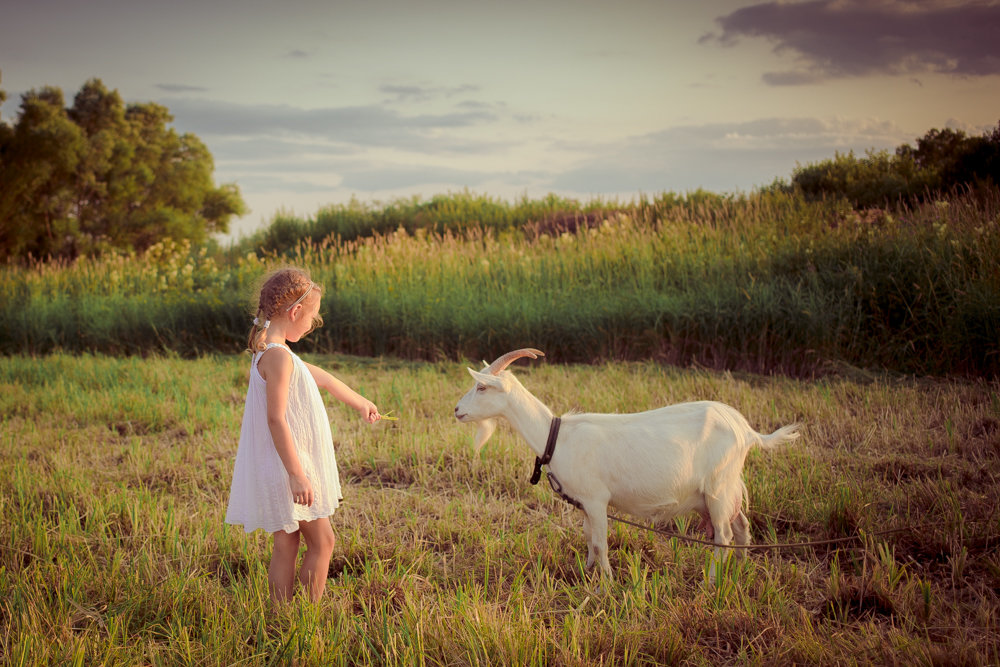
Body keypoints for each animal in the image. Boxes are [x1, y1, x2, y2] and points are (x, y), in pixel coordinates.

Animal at [458, 350, 800, 580]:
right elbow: (588, 539)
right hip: (724, 490)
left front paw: (606, 585)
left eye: (481, 387)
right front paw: (587, 573)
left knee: (724, 535)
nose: (457, 410)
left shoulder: (597, 500)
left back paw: (712, 581)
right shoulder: (585, 504)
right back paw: (739, 571)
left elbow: (600, 542)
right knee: (741, 528)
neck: (556, 436)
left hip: (718, 488)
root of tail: (747, 430)